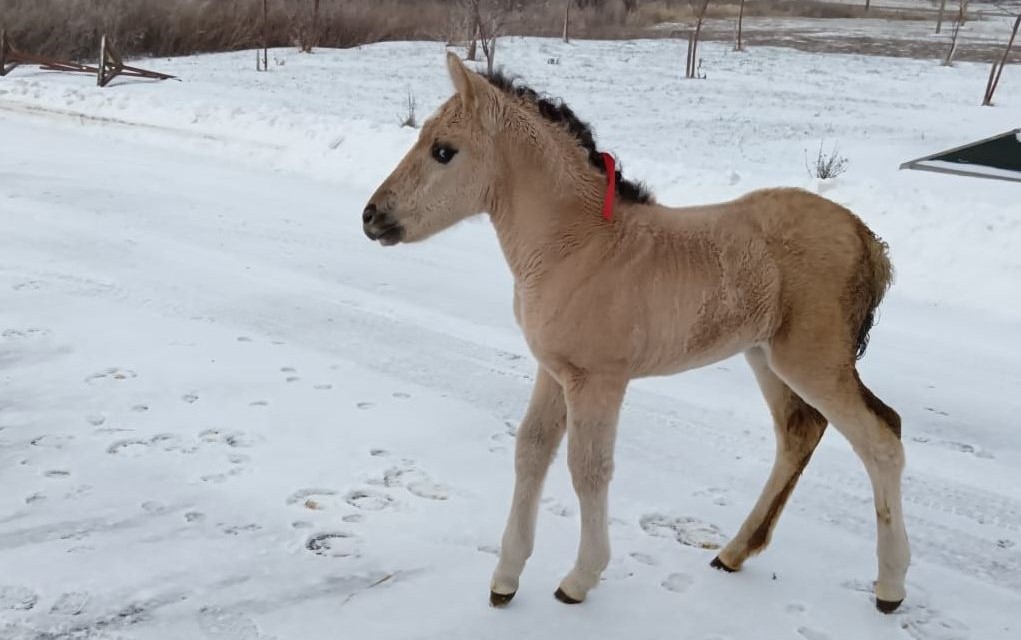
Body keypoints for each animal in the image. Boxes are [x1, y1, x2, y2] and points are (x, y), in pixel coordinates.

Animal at [359, 53, 910, 616]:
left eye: (443, 151)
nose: (371, 216)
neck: (576, 246)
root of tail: (867, 239)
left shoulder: (598, 380)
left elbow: (588, 468)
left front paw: (579, 579)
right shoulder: (553, 370)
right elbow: (531, 452)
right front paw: (505, 579)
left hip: (813, 360)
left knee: (882, 438)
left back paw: (890, 587)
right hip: (764, 355)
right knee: (800, 432)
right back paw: (733, 553)